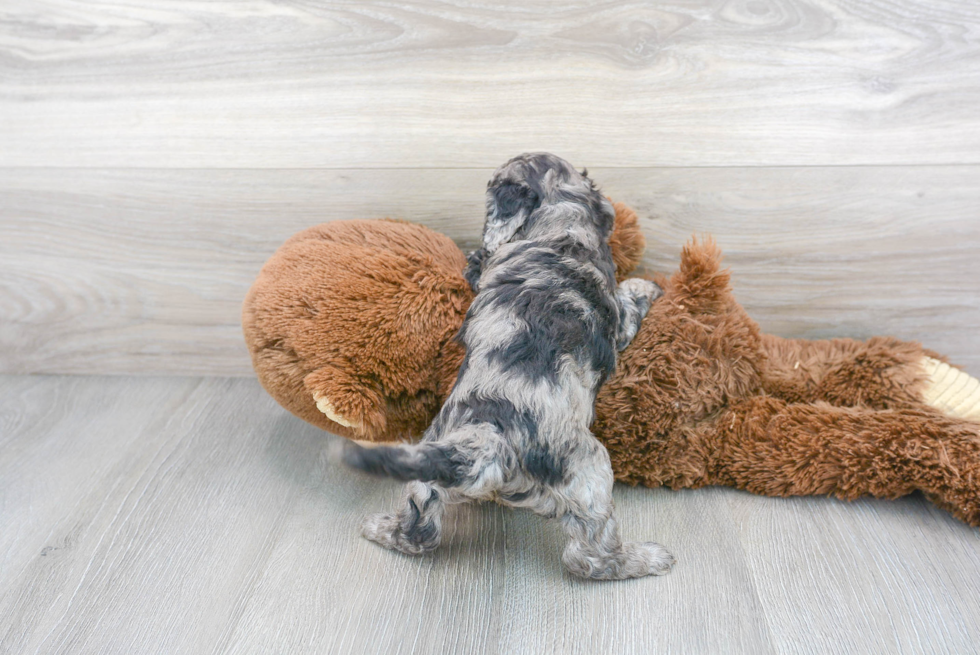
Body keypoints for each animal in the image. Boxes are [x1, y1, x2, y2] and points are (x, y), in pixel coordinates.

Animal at [344, 152, 672, 580]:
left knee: (418, 534)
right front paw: (648, 285)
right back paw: (647, 558)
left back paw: (378, 528)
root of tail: (490, 439)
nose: (474, 253)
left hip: (426, 472)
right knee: (589, 558)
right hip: (590, 473)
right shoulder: (618, 322)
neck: (560, 220)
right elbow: (629, 298)